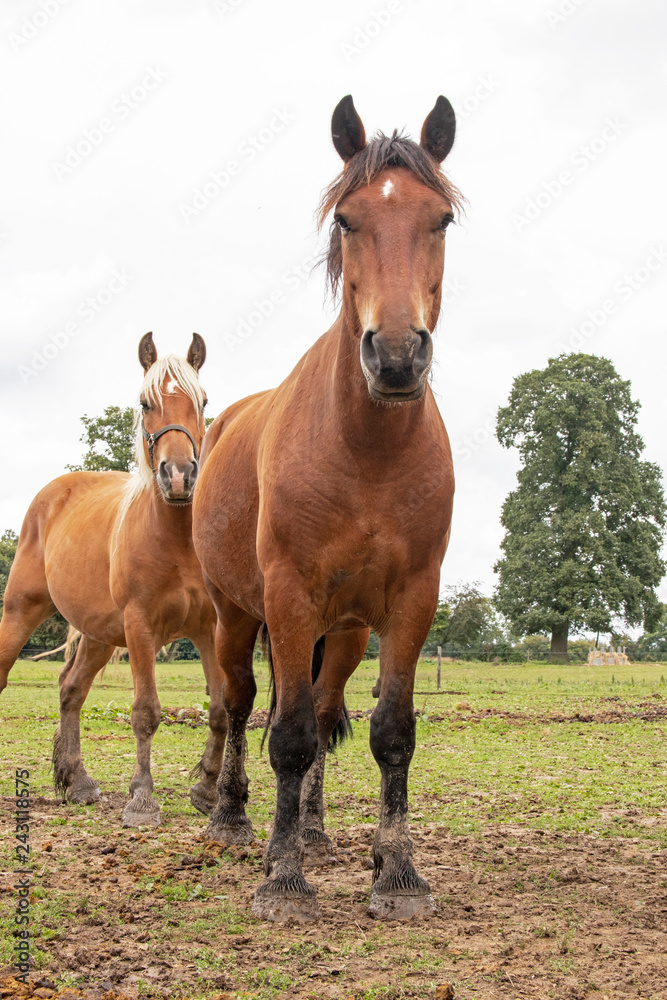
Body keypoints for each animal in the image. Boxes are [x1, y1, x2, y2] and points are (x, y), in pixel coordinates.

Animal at [0, 333, 226, 826]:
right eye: (145, 403)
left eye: (203, 401)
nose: (179, 476)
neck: (177, 539)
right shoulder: (140, 626)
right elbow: (145, 713)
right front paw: (142, 798)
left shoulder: (210, 630)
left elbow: (220, 709)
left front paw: (207, 790)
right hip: (22, 611)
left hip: (100, 634)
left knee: (71, 689)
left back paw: (77, 781)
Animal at [193, 95, 461, 921]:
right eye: (346, 219)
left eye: (440, 219)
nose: (397, 355)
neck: (364, 448)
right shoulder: (286, 594)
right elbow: (283, 736)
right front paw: (282, 881)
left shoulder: (409, 601)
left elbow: (389, 733)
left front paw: (397, 872)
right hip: (236, 615)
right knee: (242, 706)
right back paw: (233, 818)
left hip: (339, 632)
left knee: (318, 707)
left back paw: (310, 831)